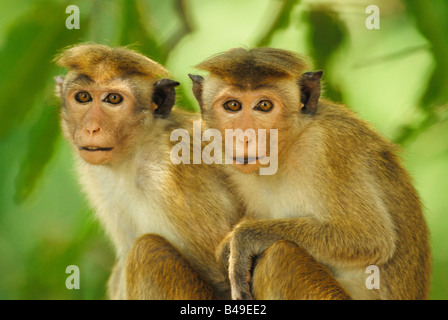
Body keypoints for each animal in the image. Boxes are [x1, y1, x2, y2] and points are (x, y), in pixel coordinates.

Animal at [53, 43, 243, 300]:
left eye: (113, 99)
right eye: (83, 97)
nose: (91, 128)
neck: (135, 154)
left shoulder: (173, 175)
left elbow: (224, 281)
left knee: (147, 251)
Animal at [189, 47, 430, 300]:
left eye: (264, 106)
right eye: (233, 105)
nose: (244, 136)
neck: (286, 150)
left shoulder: (330, 147)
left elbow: (370, 238)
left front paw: (243, 239)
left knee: (280, 255)